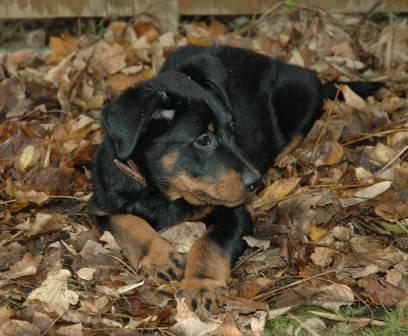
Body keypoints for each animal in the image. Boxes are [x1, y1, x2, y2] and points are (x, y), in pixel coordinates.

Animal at [90, 44, 382, 312]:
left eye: (233, 128)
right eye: (203, 139)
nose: (254, 182)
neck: (162, 193)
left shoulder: (236, 213)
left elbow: (209, 243)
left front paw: (201, 284)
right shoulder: (100, 206)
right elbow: (128, 223)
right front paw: (160, 257)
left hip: (304, 95)